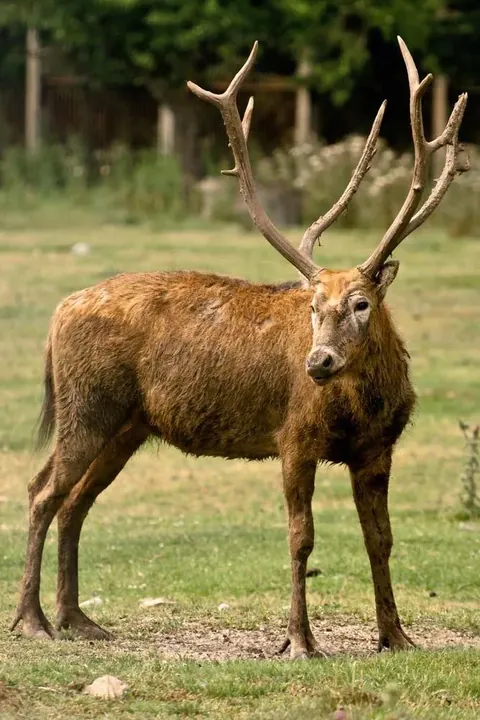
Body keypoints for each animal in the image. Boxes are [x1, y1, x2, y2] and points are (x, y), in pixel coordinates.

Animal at [11, 38, 468, 660]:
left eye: (361, 303)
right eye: (312, 305)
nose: (317, 362)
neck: (362, 406)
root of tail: (59, 311)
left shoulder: (379, 447)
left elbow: (382, 539)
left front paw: (396, 636)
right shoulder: (294, 435)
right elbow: (301, 538)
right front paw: (299, 641)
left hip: (128, 424)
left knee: (75, 502)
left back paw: (77, 619)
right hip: (86, 405)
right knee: (41, 492)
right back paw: (33, 620)